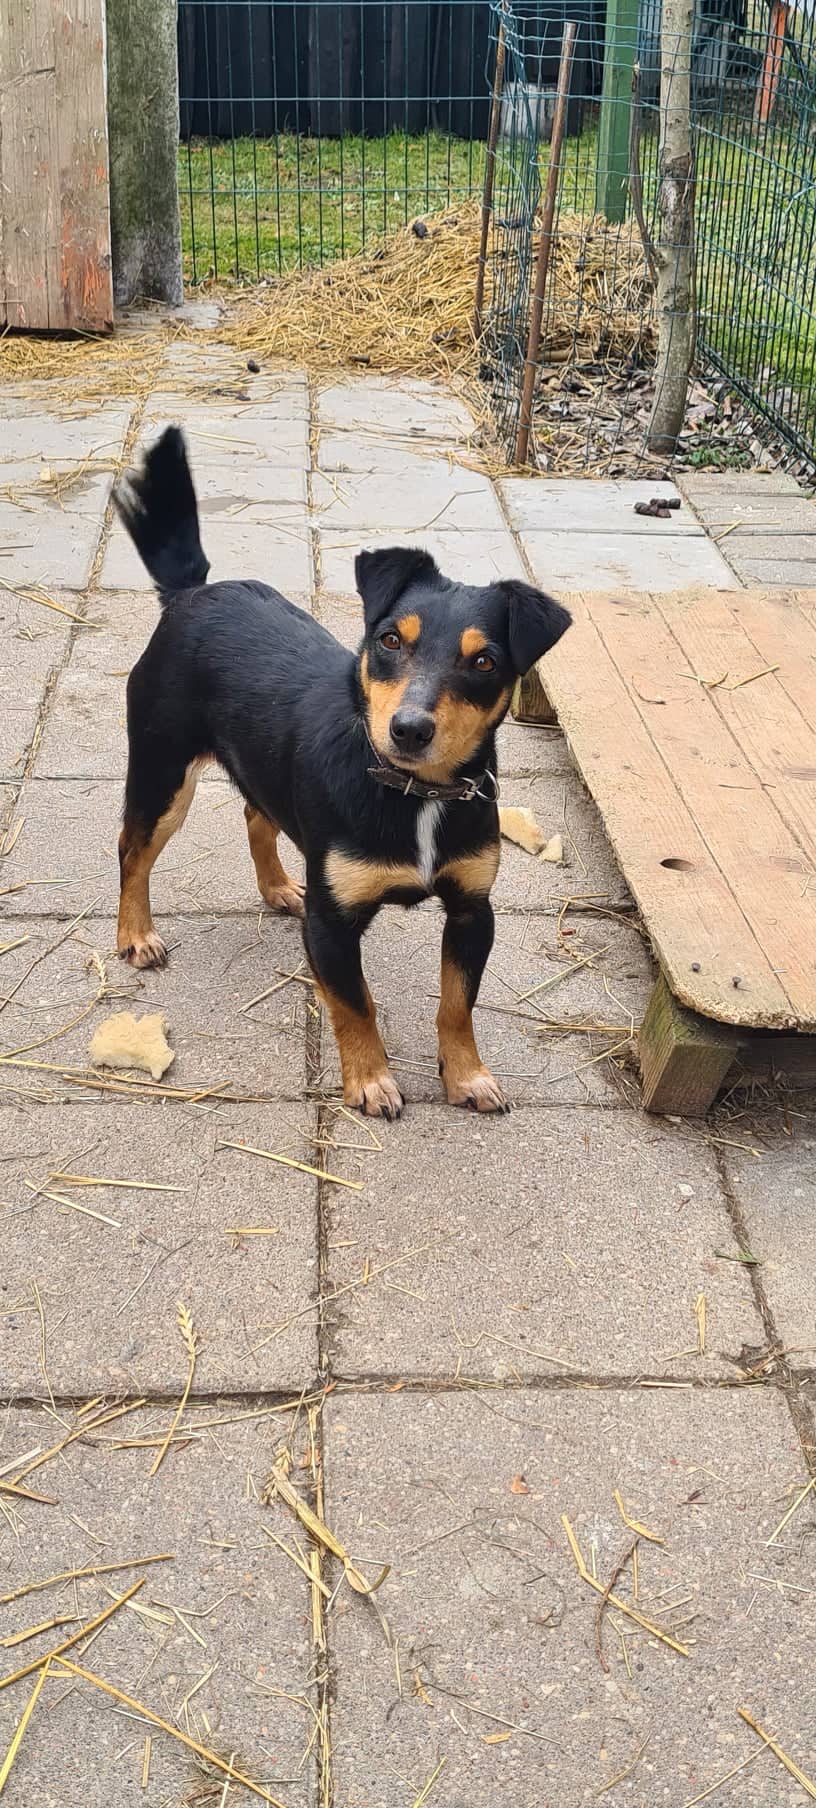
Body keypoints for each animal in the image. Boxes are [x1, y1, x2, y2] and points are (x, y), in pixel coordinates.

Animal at [112, 427, 570, 1118]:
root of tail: (192, 590)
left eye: (484, 661)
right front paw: (372, 1080)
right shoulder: (332, 925)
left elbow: (457, 1005)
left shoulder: (473, 910)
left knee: (257, 815)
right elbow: (355, 1004)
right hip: (162, 772)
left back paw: (278, 887)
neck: (414, 793)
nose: (408, 729)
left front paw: (466, 1076)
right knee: (133, 851)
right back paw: (136, 934)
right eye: (389, 640)